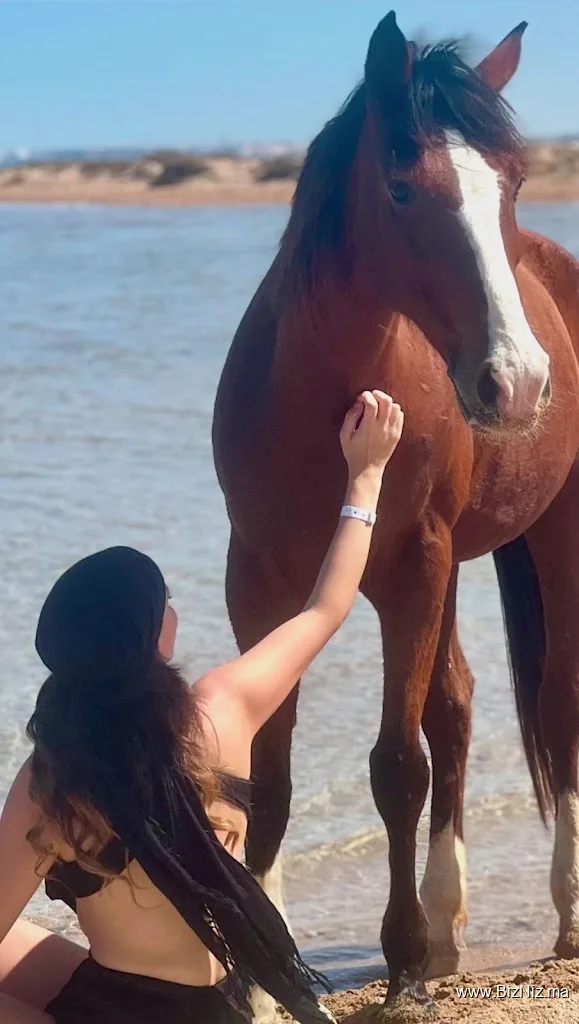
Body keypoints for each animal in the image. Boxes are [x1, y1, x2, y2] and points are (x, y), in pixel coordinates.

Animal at [212, 12, 579, 1019]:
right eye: (404, 187)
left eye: (512, 184)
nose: (517, 382)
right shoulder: (257, 578)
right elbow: (270, 773)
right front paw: (264, 979)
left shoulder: (412, 565)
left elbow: (394, 767)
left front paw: (405, 958)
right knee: (455, 707)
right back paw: (453, 923)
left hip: (548, 538)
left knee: (553, 701)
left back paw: (561, 911)